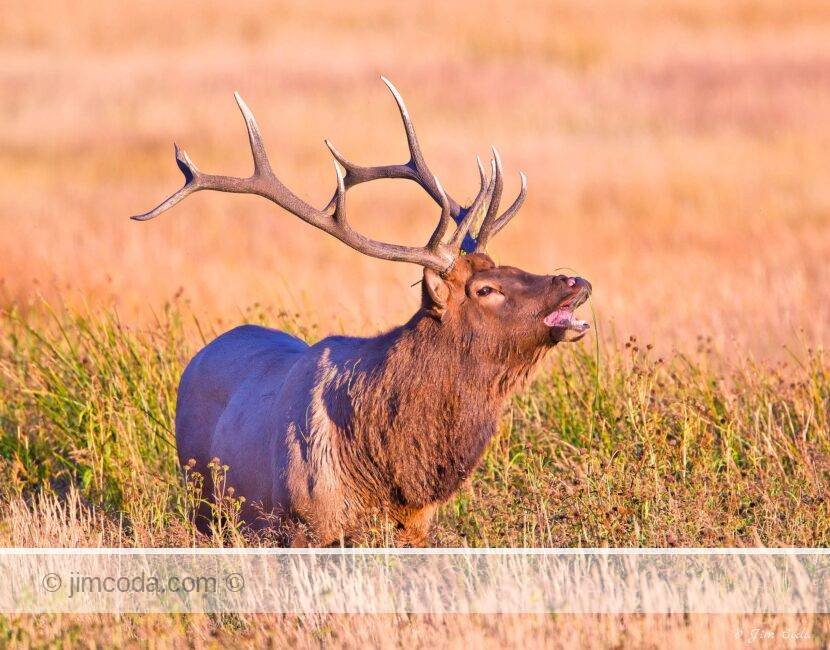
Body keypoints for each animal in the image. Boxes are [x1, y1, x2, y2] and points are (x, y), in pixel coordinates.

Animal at [132, 78, 591, 546]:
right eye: (485, 289)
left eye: (506, 266)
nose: (575, 282)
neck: (388, 467)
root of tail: (201, 355)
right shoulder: (306, 524)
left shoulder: (415, 527)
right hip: (203, 502)